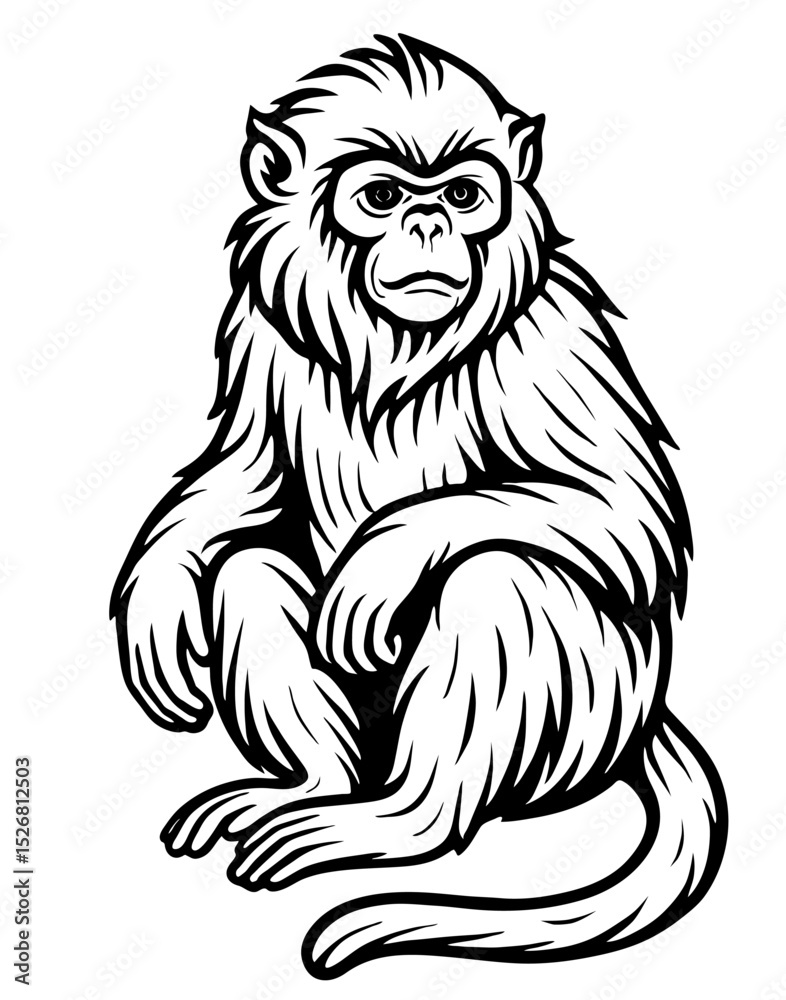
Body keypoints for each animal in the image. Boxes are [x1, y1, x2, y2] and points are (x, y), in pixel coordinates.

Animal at [111, 34, 727, 979]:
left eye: (464, 196)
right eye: (384, 198)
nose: (431, 227)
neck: (395, 345)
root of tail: (642, 724)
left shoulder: (550, 331)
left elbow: (627, 513)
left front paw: (388, 553)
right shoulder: (261, 326)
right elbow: (242, 483)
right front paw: (156, 591)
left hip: (591, 714)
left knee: (499, 577)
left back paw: (399, 821)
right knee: (252, 567)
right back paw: (318, 788)